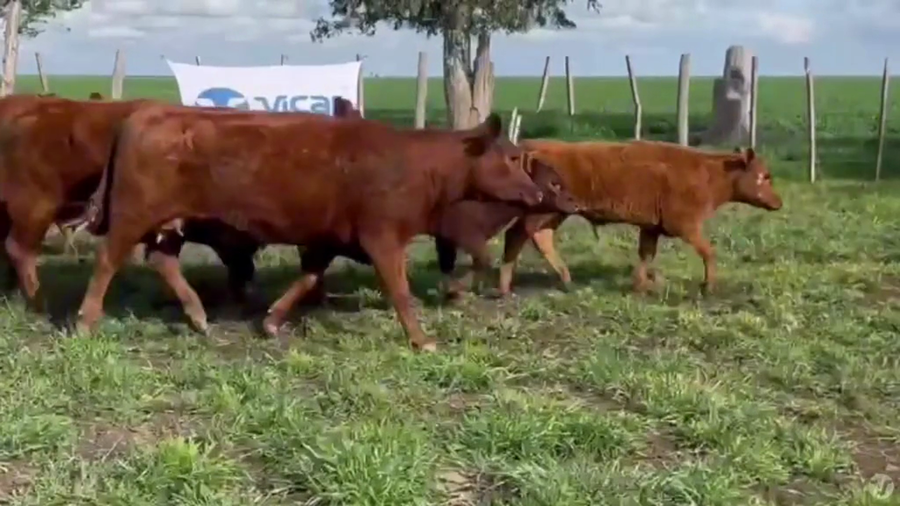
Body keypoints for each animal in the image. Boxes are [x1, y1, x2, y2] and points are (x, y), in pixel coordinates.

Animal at [75, 105, 545, 352]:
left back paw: (199, 316)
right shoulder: (383, 237)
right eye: (510, 158)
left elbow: (307, 278)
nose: (537, 193)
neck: (416, 163)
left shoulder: (330, 239)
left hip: (174, 223)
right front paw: (420, 339)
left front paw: (271, 321)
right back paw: (86, 321)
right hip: (133, 215)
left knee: (162, 259)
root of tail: (148, 111)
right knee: (107, 261)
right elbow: (400, 291)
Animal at [493, 139, 783, 296]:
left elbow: (646, 254)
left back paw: (561, 280)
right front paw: (708, 286)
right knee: (519, 235)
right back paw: (510, 285)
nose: (778, 202)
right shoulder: (686, 226)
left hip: (556, 214)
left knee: (537, 237)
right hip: (545, 211)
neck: (709, 172)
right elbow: (709, 252)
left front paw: (641, 285)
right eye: (764, 176)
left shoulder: (651, 228)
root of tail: (529, 147)